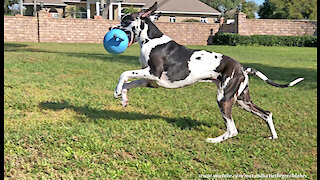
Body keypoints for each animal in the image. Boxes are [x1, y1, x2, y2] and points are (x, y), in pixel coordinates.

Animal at [111, 2, 304, 143]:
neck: (151, 40)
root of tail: (242, 67)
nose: (110, 28)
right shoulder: (149, 81)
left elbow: (124, 73)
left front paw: (117, 91)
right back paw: (273, 136)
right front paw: (123, 97)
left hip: (224, 99)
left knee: (232, 129)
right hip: (242, 100)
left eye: (125, 20)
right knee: (266, 114)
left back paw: (214, 140)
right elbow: (128, 82)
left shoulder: (153, 73)